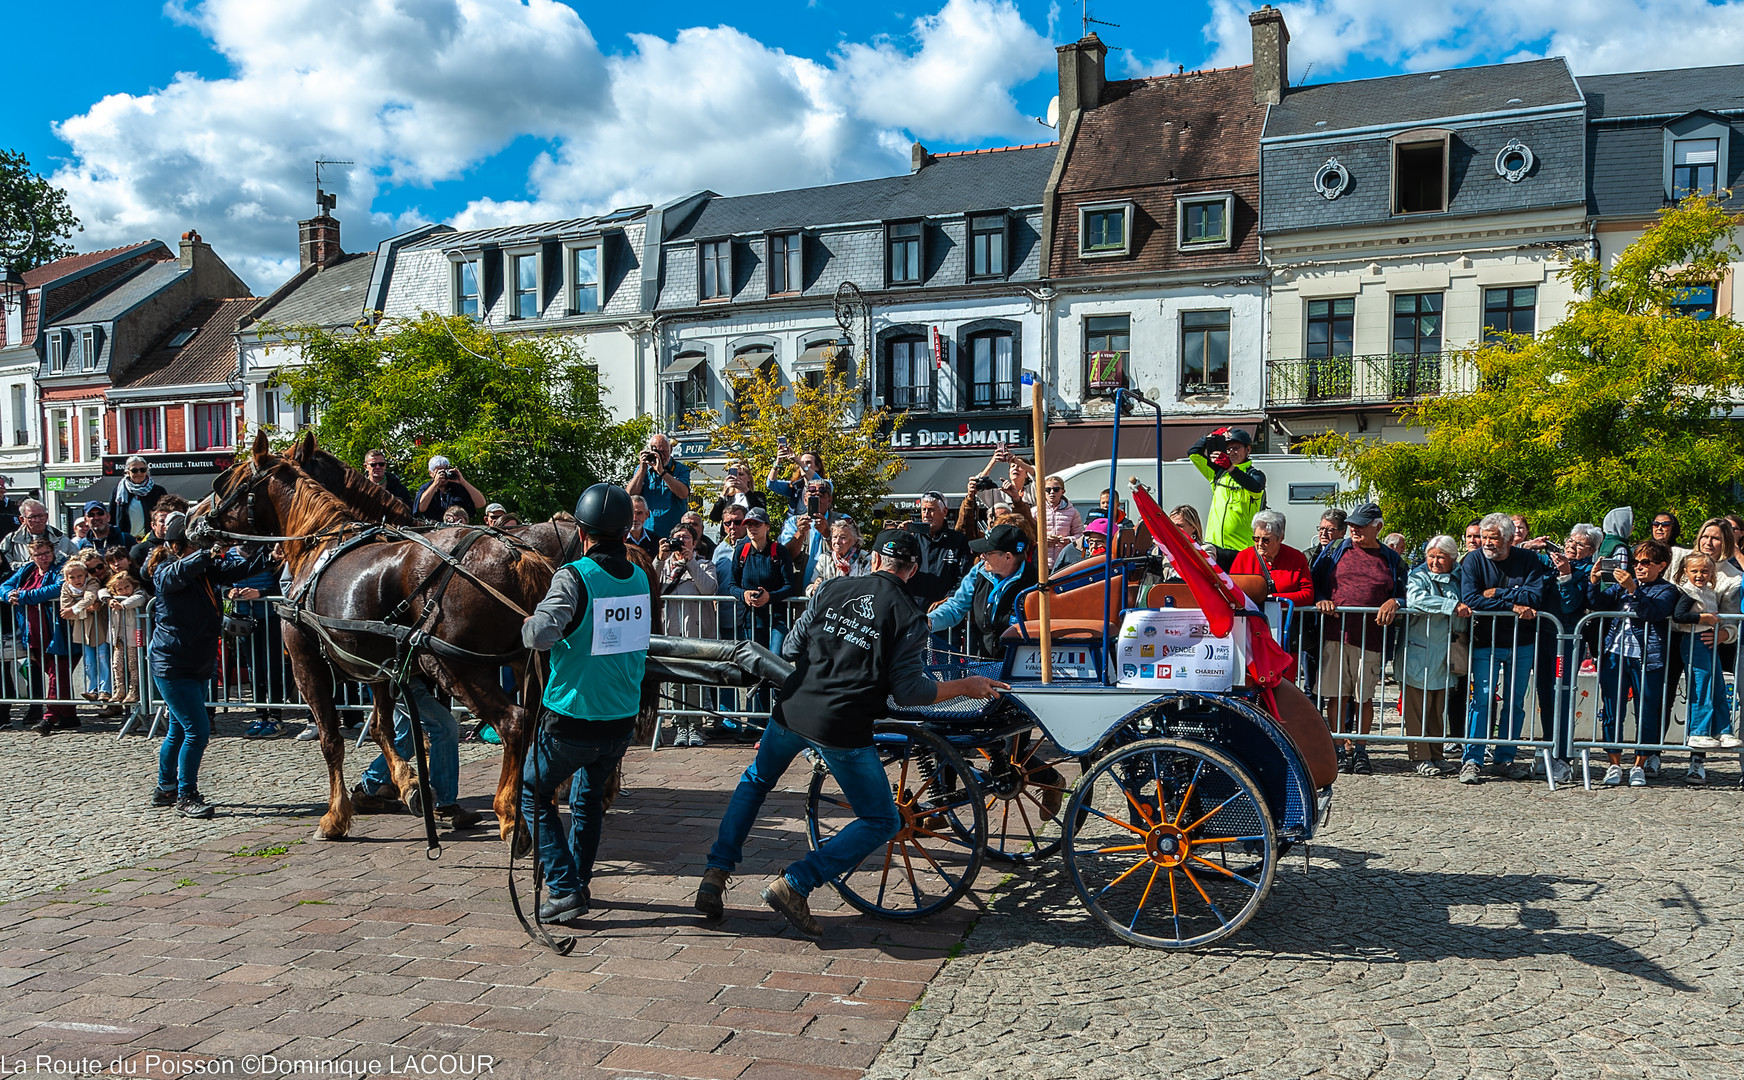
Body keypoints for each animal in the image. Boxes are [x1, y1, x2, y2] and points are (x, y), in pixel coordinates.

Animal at [198, 432, 554, 844]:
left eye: (223, 483)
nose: (194, 520)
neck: (317, 545)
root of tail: (514, 553)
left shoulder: (306, 661)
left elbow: (332, 739)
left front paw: (336, 816)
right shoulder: (377, 669)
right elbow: (384, 729)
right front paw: (409, 785)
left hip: (455, 666)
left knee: (514, 722)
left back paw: (510, 815)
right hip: (525, 661)